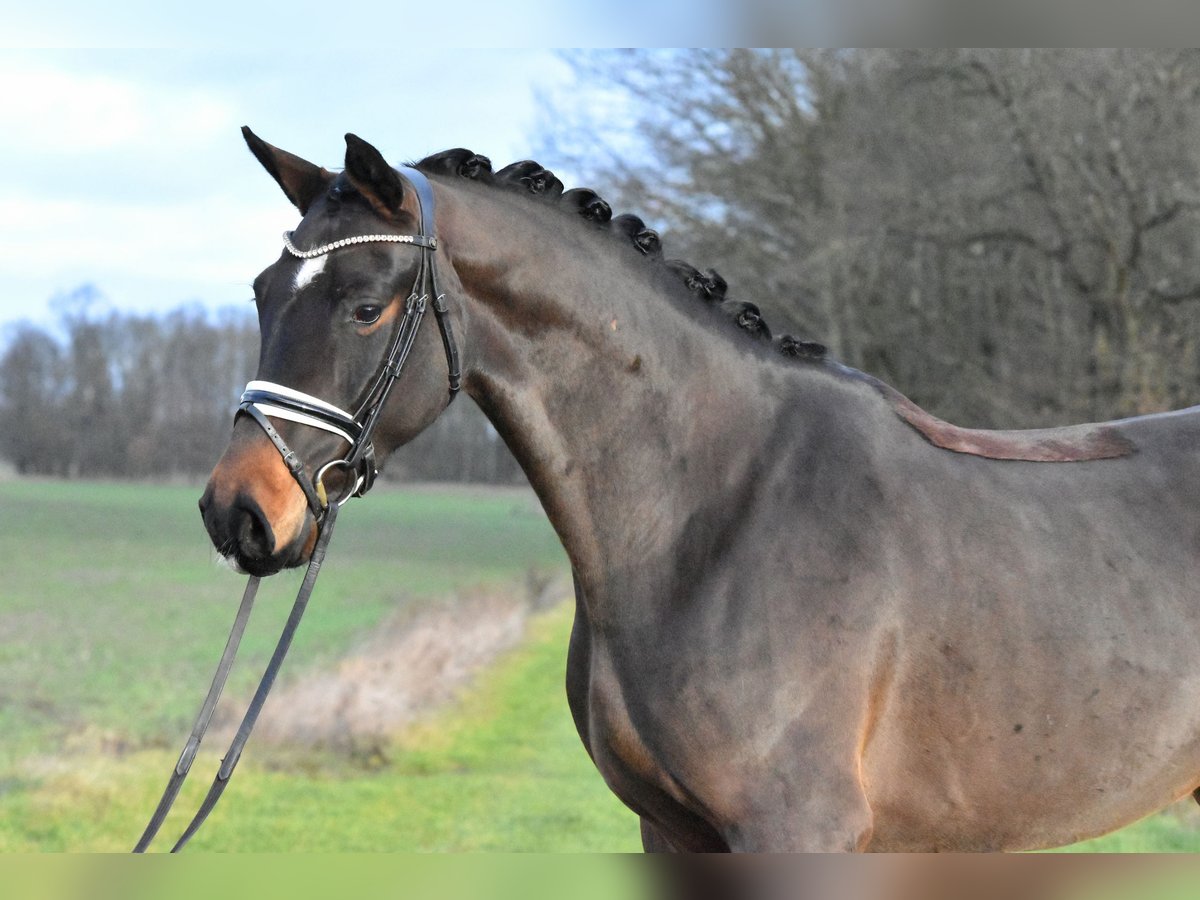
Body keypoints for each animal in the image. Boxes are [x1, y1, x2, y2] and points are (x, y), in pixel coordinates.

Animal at [199, 128, 1200, 854]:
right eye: (260, 293)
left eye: (366, 305)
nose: (237, 513)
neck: (715, 514)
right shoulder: (672, 831)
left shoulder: (795, 831)